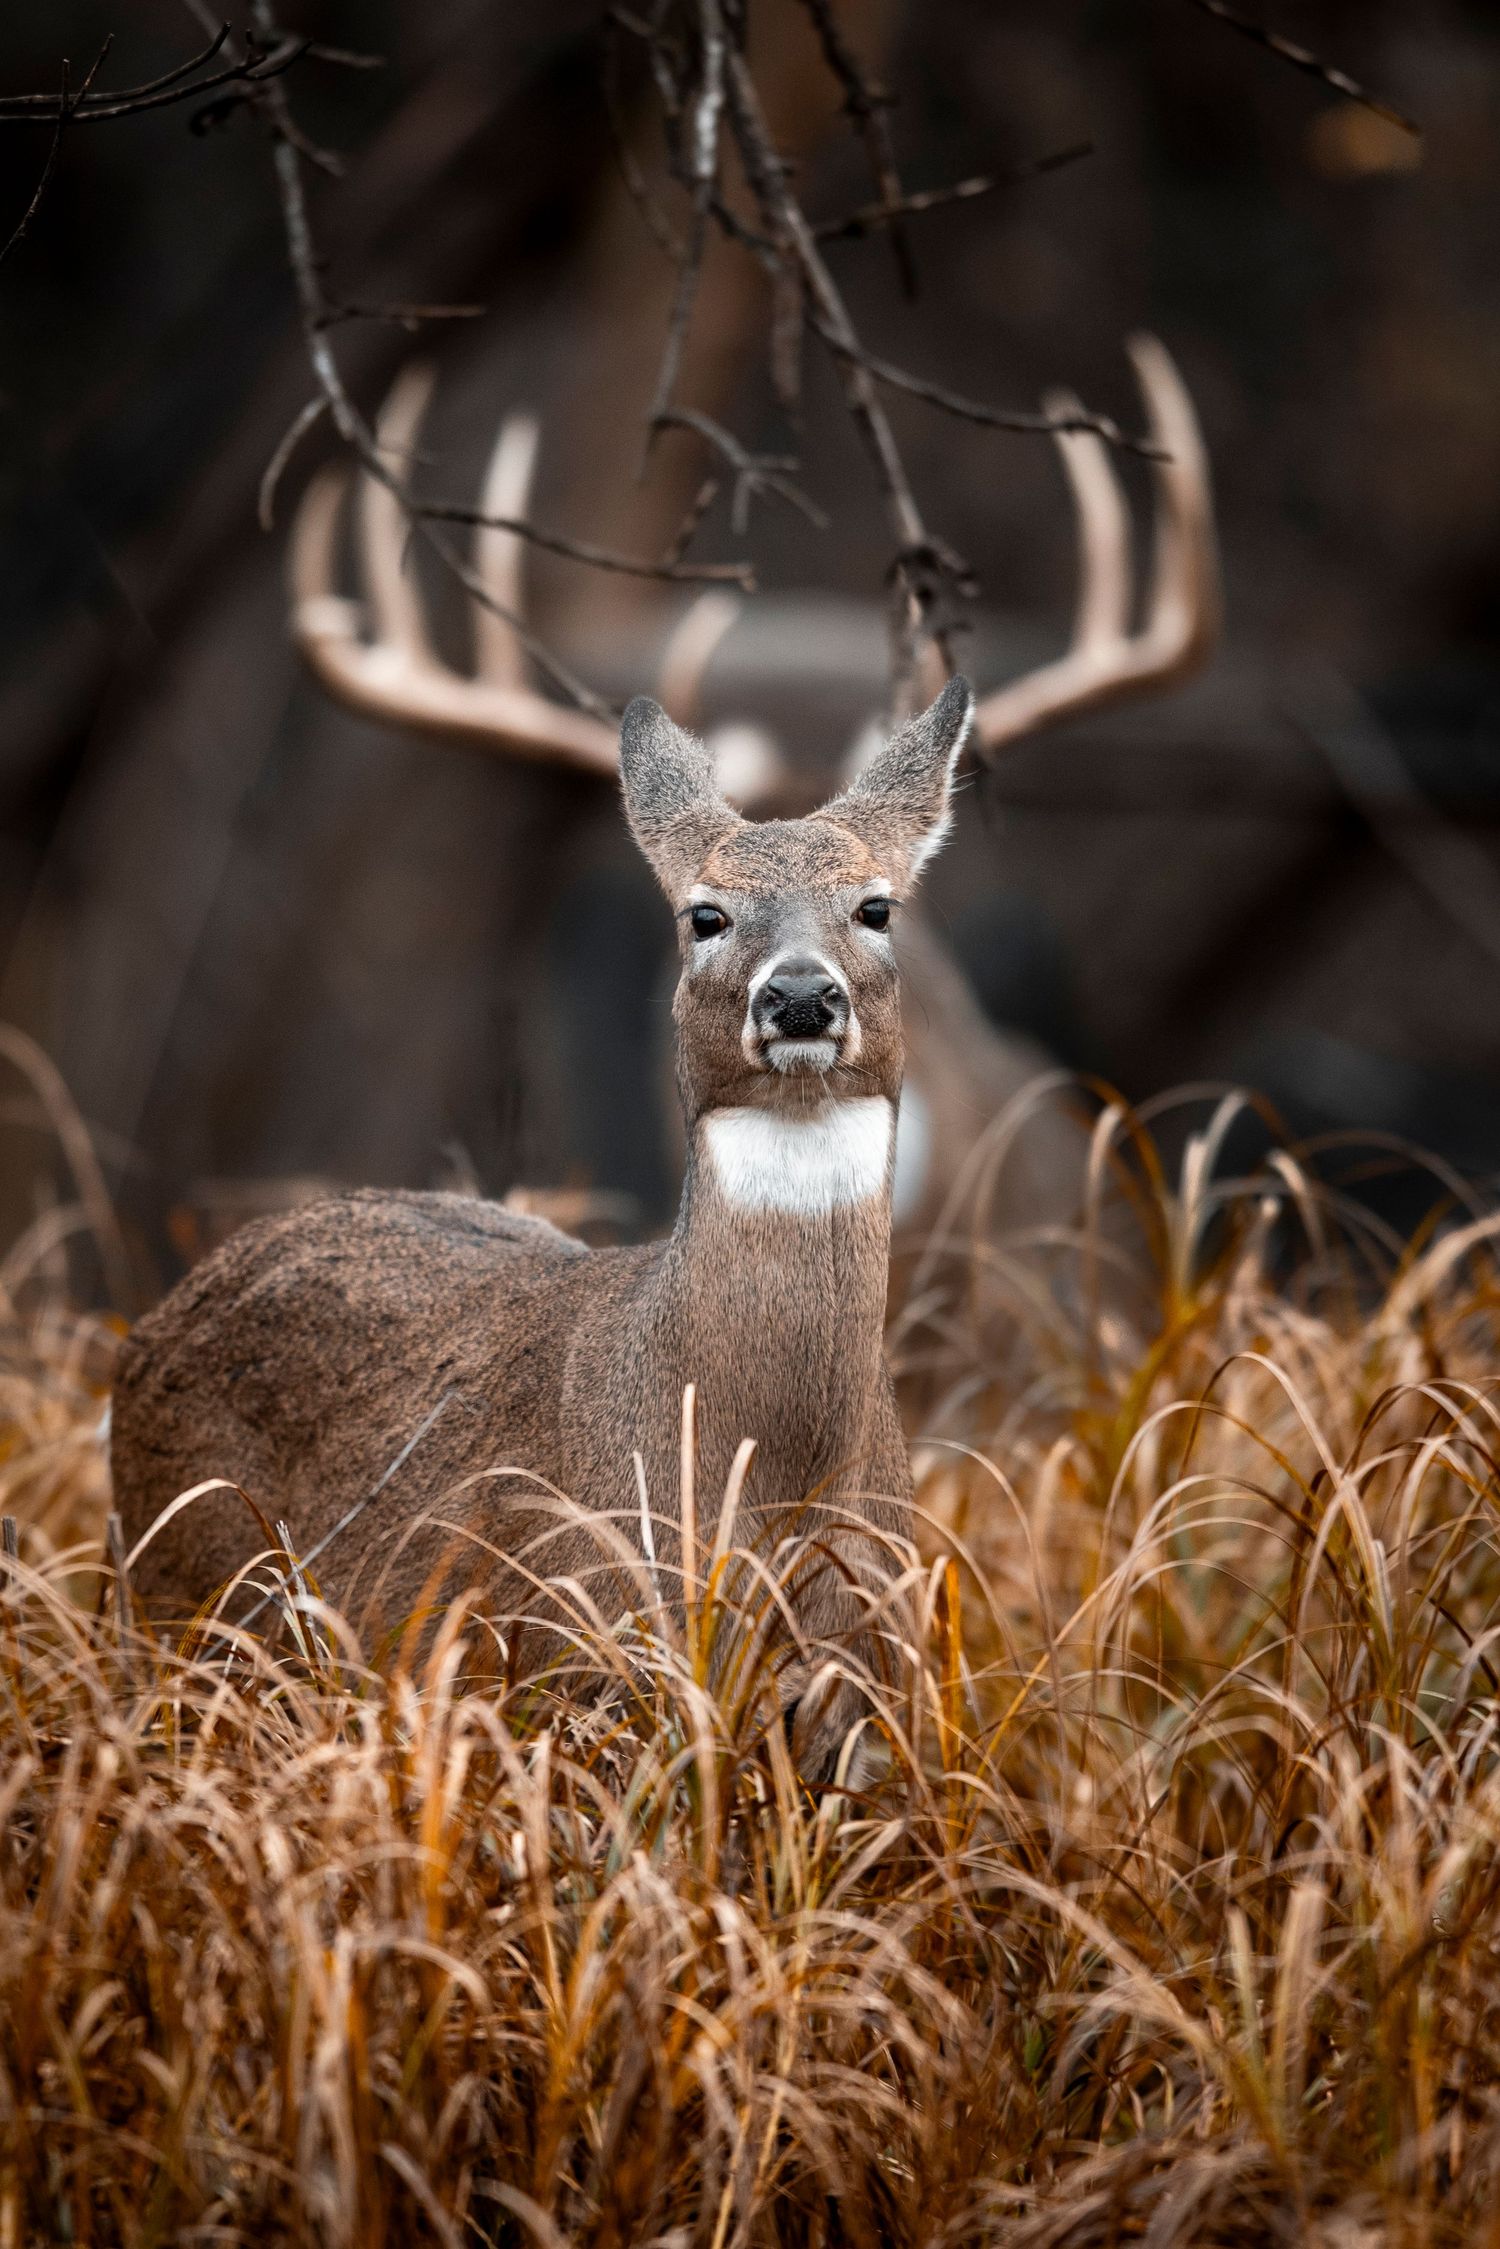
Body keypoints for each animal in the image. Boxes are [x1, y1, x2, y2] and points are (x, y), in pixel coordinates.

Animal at [111, 676, 975, 1776]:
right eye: (705, 913)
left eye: (875, 906)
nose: (799, 995)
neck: (773, 1480)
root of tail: (147, 1328)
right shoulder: (579, 1671)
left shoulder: (878, 1705)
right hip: (181, 1611)